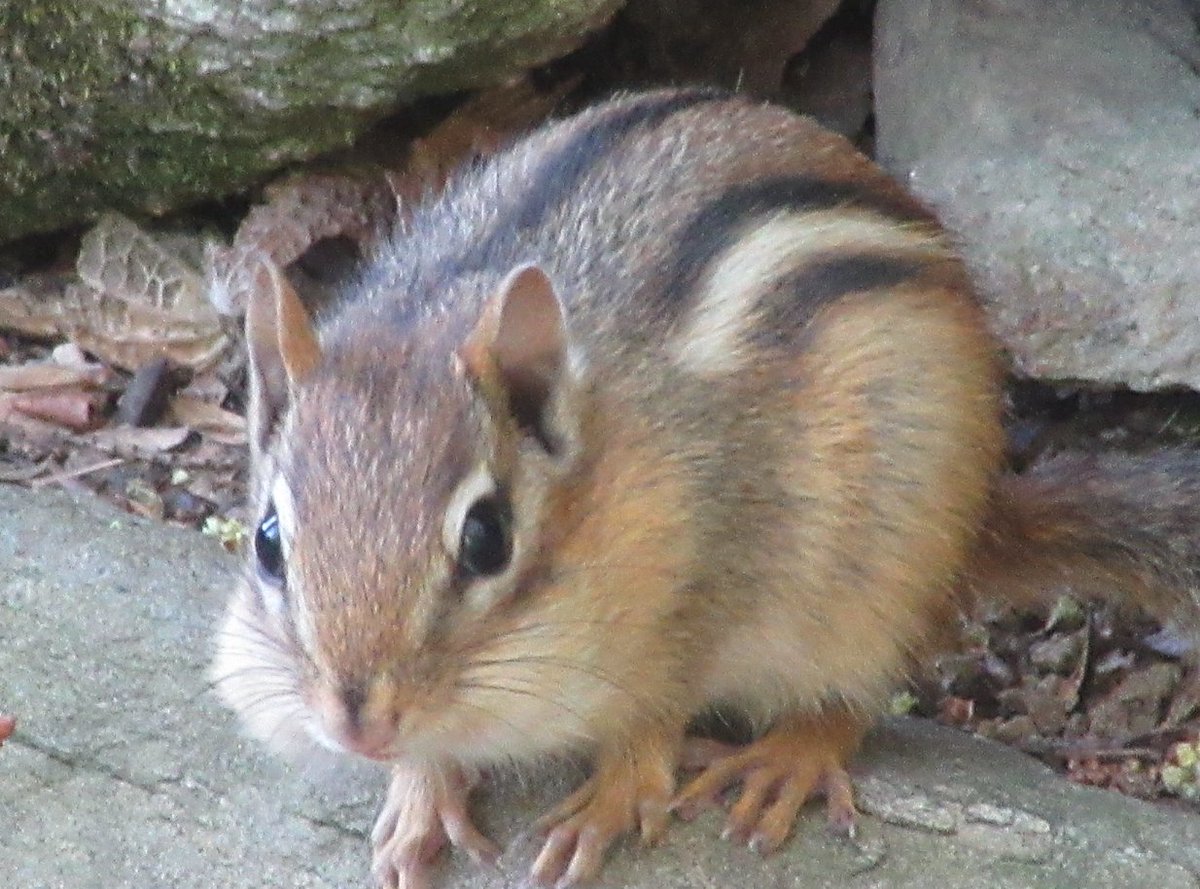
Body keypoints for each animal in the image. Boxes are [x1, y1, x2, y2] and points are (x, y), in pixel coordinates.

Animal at [211, 87, 1200, 889]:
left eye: (486, 537)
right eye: (267, 540)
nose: (358, 723)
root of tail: (985, 518)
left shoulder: (711, 577)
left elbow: (659, 704)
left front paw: (611, 796)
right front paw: (418, 796)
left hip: (890, 561)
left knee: (858, 690)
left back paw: (786, 758)